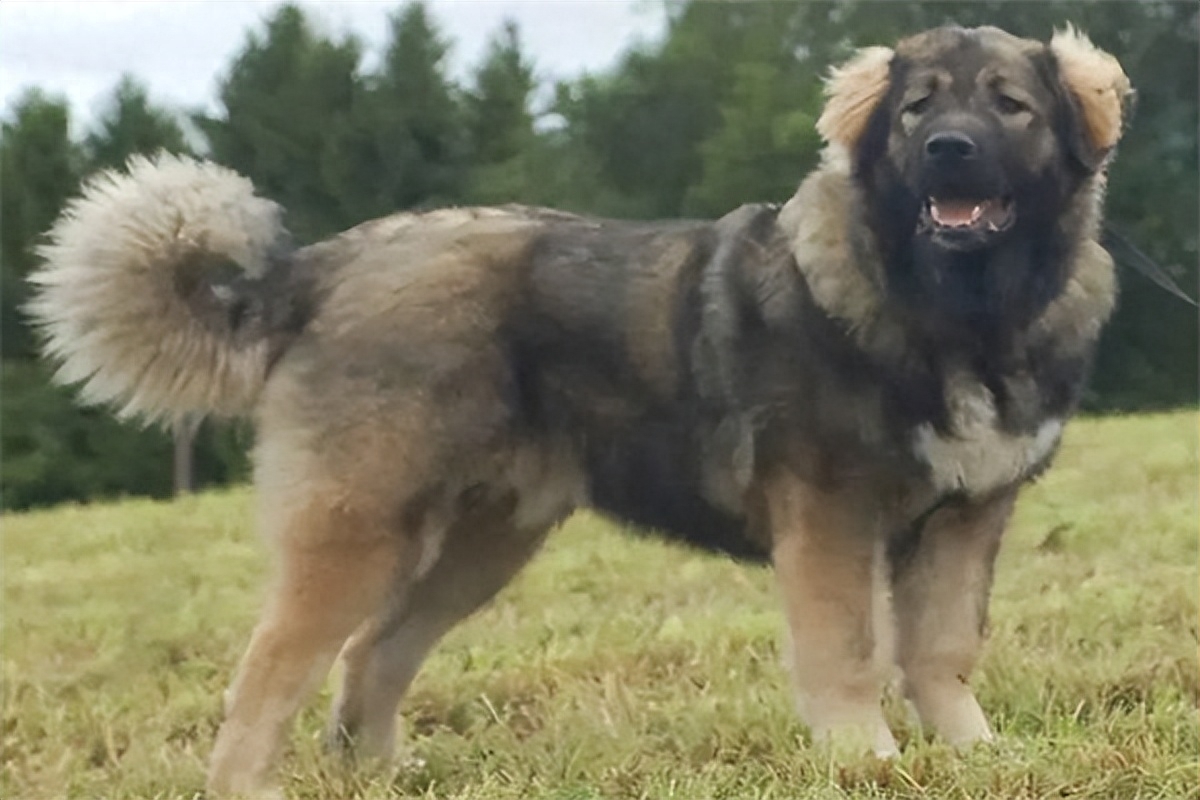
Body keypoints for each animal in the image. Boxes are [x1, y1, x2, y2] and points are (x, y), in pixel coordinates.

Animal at [30, 23, 1132, 796]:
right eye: (913, 110)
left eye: (1010, 106)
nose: (950, 148)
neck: (959, 311)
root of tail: (324, 264)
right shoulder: (829, 518)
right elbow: (850, 651)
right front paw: (868, 759)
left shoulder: (967, 516)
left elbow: (943, 649)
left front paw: (976, 754)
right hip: (359, 527)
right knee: (270, 669)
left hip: (482, 540)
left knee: (373, 651)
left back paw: (383, 773)